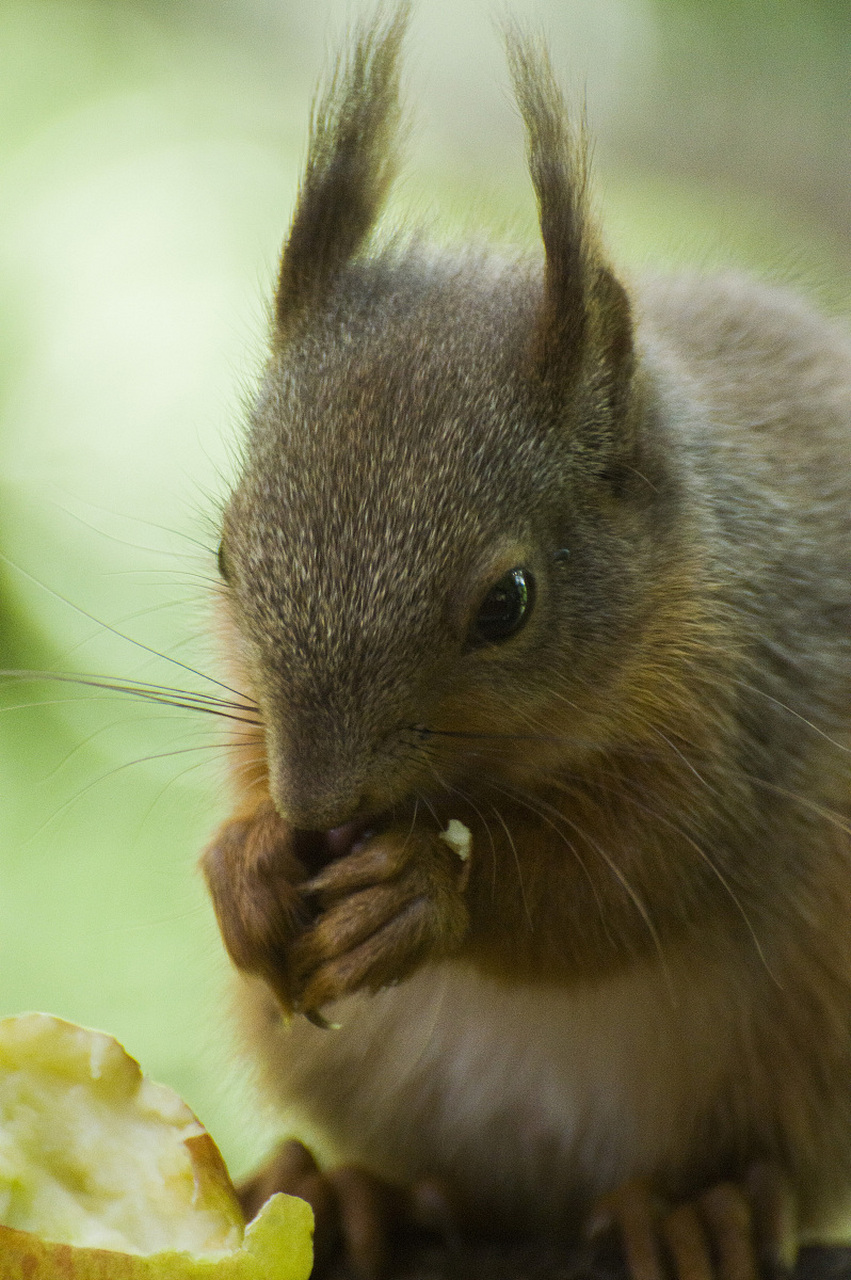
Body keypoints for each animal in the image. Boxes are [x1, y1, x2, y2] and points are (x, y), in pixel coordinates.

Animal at [197, 10, 849, 1280]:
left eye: (506, 601)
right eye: (225, 558)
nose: (316, 810)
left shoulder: (751, 706)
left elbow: (624, 881)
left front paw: (426, 892)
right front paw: (242, 865)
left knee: (759, 1159)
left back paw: (699, 1209)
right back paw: (348, 1188)